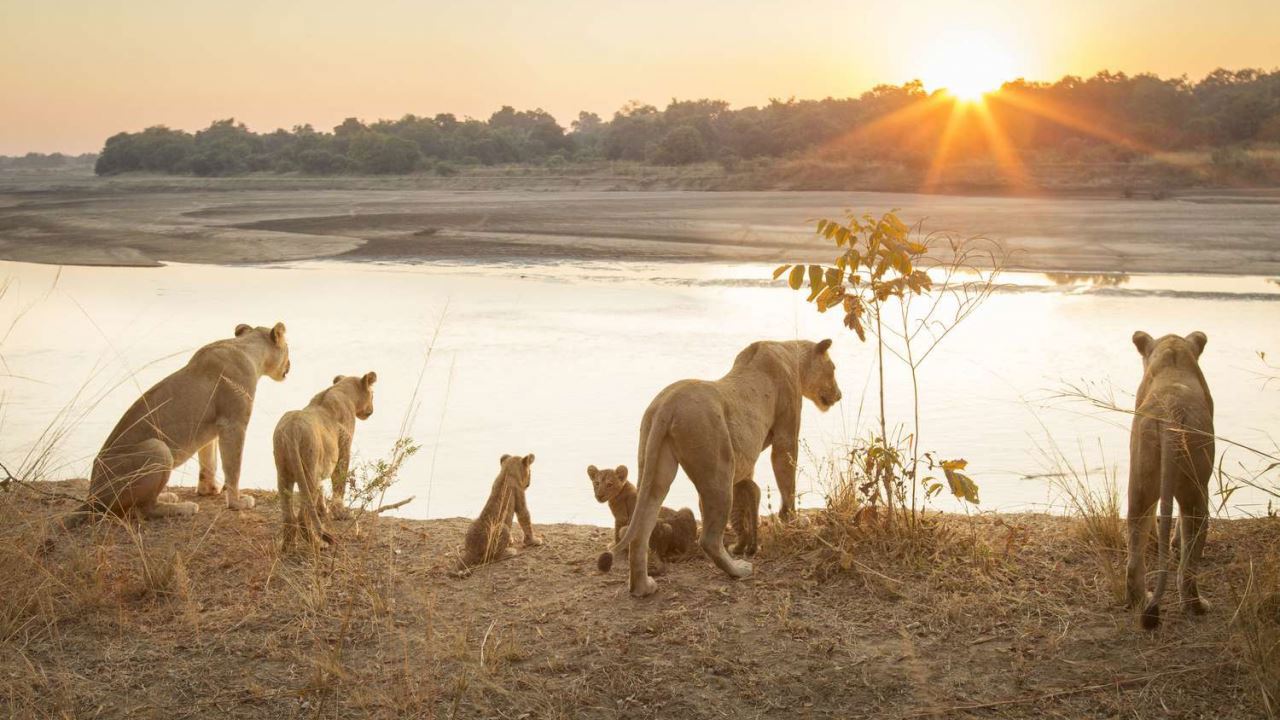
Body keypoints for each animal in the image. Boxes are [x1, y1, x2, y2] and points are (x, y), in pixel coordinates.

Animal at [64, 322, 290, 525]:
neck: (247, 348)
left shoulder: (212, 428)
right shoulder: (233, 423)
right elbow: (233, 467)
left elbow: (208, 461)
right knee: (145, 510)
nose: (290, 365)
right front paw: (237, 502)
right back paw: (184, 507)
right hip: (158, 448)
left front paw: (208, 490)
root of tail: (92, 495)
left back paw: (168, 496)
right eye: (288, 348)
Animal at [268, 368, 373, 548]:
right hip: (308, 472)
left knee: (289, 516)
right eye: (373, 394)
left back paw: (288, 546)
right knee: (302, 515)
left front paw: (322, 511)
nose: (372, 410)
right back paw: (317, 544)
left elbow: (322, 489)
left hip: (283, 472)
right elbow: (339, 481)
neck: (341, 390)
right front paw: (340, 512)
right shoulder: (344, 448)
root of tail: (292, 430)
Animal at [599, 338, 839, 594]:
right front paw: (793, 520)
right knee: (709, 539)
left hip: (656, 468)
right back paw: (739, 570)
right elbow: (787, 479)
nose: (839, 395)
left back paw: (643, 587)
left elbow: (748, 493)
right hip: (718, 469)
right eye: (833, 368)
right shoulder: (786, 434)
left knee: (641, 532)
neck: (791, 353)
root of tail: (667, 404)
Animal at [1126, 330, 1213, 627]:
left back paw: (1140, 602)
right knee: (1189, 555)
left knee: (1134, 549)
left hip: (1140, 481)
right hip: (1196, 488)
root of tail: (1170, 414)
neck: (1173, 355)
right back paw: (1196, 605)